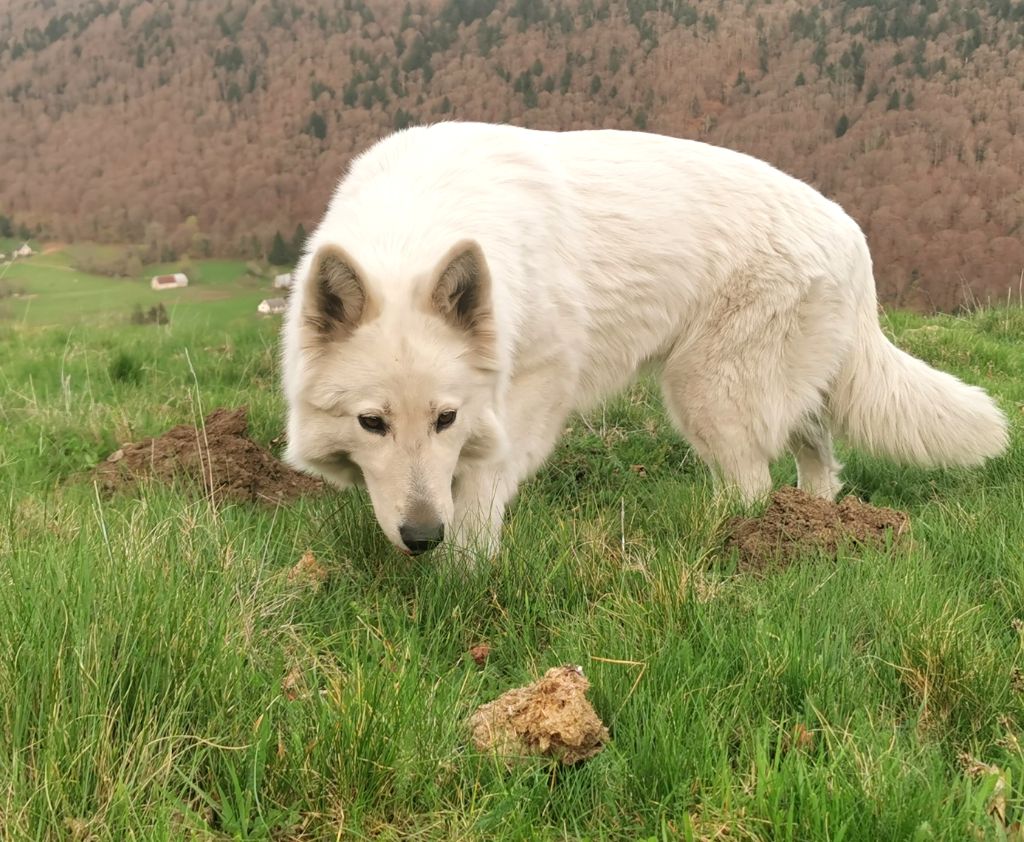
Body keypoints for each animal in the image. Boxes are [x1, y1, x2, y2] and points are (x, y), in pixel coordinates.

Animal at [280, 121, 1007, 557]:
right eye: (371, 423)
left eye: (445, 418)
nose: (422, 536)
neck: (414, 230)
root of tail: (851, 233)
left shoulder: (536, 385)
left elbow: (482, 481)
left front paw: (467, 564)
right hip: (774, 390)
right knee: (819, 461)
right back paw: (813, 525)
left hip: (706, 391)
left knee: (750, 480)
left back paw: (740, 543)